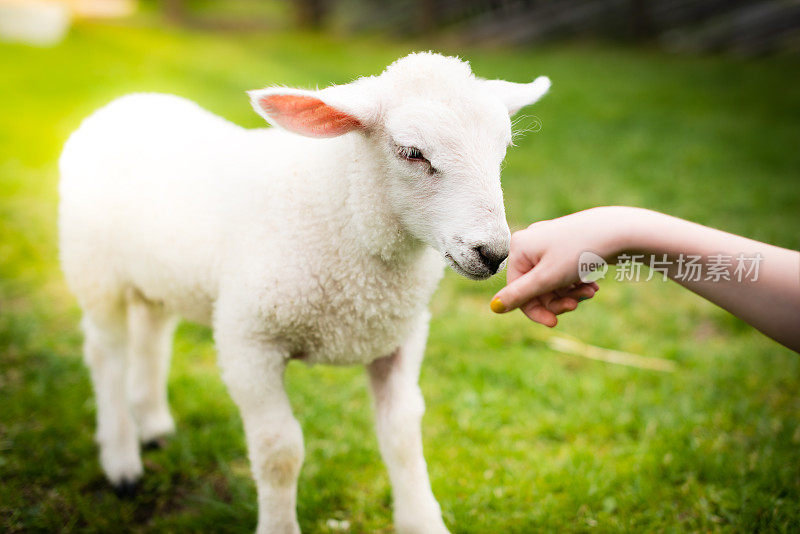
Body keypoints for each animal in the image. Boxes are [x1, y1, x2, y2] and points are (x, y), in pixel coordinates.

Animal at [57, 51, 552, 534]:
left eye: (502, 150)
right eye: (412, 152)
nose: (493, 253)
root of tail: (130, 100)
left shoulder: (399, 339)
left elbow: (402, 433)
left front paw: (421, 521)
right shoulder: (247, 343)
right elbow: (280, 451)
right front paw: (278, 524)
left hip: (157, 275)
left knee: (153, 334)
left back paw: (153, 424)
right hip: (94, 271)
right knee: (107, 355)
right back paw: (121, 459)